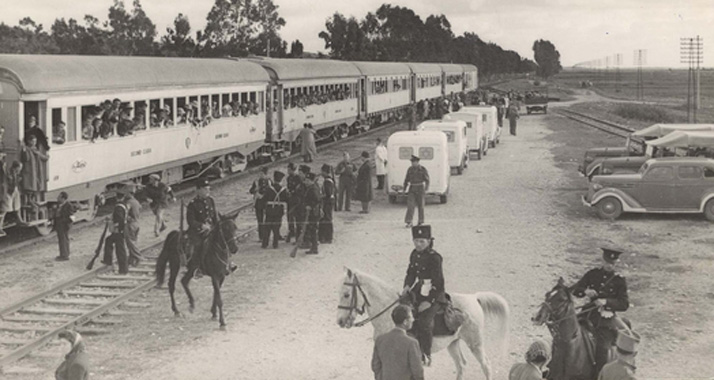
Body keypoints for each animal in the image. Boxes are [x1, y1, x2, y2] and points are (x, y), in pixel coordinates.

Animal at [334, 268, 506, 380]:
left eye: (346, 294)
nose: (340, 321)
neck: (390, 314)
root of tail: (474, 297)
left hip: (475, 343)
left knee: (486, 366)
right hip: (452, 343)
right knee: (461, 366)